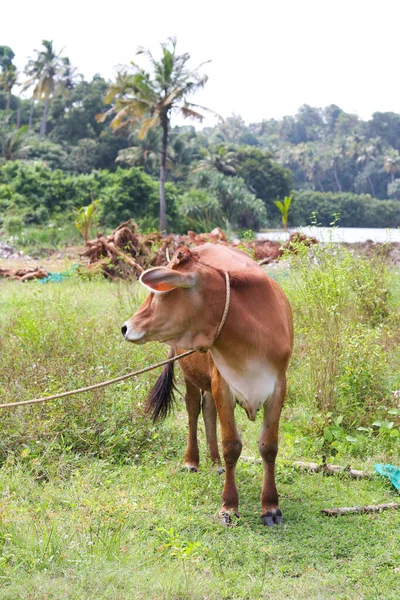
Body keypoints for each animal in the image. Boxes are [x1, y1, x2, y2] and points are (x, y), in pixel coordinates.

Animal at [122, 244, 294, 524]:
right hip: (190, 373)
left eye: (156, 294)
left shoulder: (278, 386)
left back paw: (215, 464)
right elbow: (232, 445)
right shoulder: (223, 383)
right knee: (193, 408)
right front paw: (229, 507)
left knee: (208, 410)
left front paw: (270, 507)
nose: (125, 327)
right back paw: (192, 461)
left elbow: (269, 447)